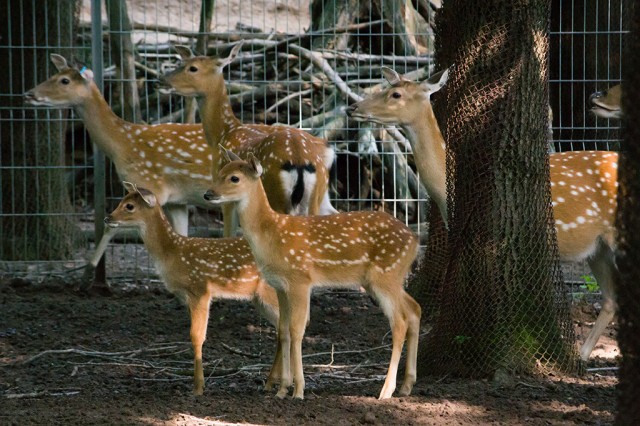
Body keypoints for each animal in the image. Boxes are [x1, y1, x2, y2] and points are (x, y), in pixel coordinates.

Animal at [24, 54, 218, 278]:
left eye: (64, 80)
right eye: (53, 75)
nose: (28, 94)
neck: (122, 145)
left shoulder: (151, 185)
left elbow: (113, 226)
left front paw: (88, 273)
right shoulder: (176, 200)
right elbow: (180, 235)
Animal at [104, 181, 281, 395]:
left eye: (129, 206)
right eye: (122, 200)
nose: (108, 218)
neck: (173, 253)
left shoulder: (200, 289)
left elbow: (196, 336)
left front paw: (198, 387)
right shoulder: (189, 296)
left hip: (270, 292)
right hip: (259, 299)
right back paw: (271, 383)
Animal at [157, 44, 337, 224]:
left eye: (193, 68)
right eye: (182, 63)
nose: (161, 80)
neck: (224, 133)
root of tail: (300, 159)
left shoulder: (226, 196)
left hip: (277, 196)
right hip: (318, 195)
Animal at [203, 147, 422, 400]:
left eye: (234, 178)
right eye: (220, 171)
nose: (208, 194)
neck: (272, 235)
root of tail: (415, 240)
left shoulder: (300, 279)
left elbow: (297, 330)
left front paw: (298, 390)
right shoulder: (280, 286)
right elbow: (283, 331)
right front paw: (282, 389)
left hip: (385, 275)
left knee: (399, 322)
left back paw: (387, 390)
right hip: (385, 278)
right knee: (414, 309)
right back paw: (407, 385)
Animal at [346, 67, 618, 362]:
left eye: (396, 94)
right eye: (385, 87)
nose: (352, 108)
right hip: (597, 248)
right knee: (611, 299)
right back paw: (581, 358)